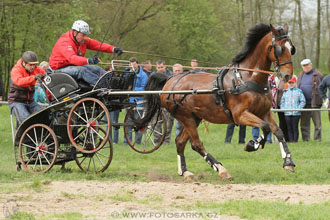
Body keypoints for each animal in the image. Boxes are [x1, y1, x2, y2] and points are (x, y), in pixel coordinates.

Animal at [135, 23, 296, 180]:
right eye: (280, 49)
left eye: (291, 48)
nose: (287, 75)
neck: (247, 78)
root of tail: (170, 81)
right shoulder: (240, 115)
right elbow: (265, 127)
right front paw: (252, 145)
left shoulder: (264, 112)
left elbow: (277, 131)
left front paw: (288, 161)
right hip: (185, 117)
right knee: (196, 144)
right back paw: (221, 169)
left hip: (194, 117)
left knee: (180, 142)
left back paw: (185, 172)